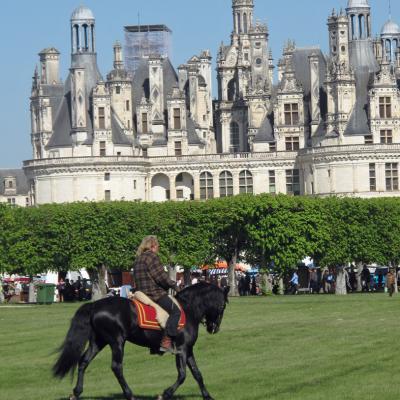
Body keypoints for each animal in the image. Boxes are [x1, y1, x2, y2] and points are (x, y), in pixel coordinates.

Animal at [52, 282, 231, 400]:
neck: (188, 309)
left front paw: (207, 396)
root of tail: (95, 305)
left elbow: (197, 373)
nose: (214, 328)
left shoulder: (188, 350)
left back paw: (76, 392)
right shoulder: (181, 350)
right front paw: (164, 394)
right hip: (117, 342)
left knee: (83, 361)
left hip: (99, 342)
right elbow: (182, 375)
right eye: (223, 306)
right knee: (116, 367)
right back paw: (130, 395)